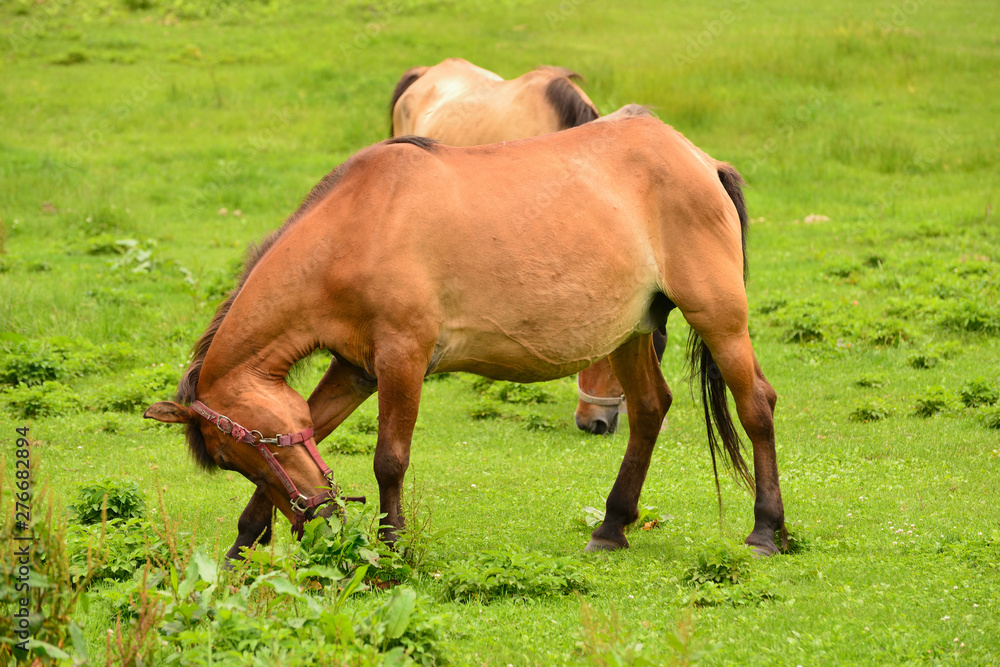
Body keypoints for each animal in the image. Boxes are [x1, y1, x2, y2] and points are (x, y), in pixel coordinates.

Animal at [144, 112, 786, 561]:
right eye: (233, 460)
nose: (320, 516)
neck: (357, 227)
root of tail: (699, 159)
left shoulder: (403, 358)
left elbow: (389, 460)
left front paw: (392, 550)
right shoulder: (355, 369)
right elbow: (317, 431)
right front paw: (240, 549)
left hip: (719, 317)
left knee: (756, 405)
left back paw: (767, 529)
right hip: (630, 333)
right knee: (650, 410)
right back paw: (611, 526)